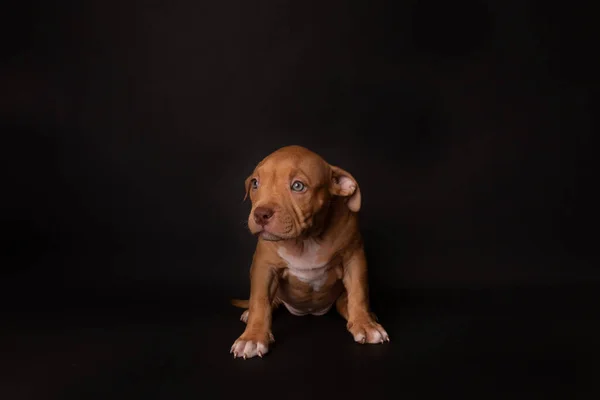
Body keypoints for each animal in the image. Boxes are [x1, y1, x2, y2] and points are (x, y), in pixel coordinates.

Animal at [230, 145, 390, 360]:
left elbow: (359, 292)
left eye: (298, 186)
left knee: (346, 302)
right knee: (272, 301)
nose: (260, 214)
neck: (306, 240)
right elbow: (260, 301)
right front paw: (252, 338)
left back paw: (362, 316)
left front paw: (365, 325)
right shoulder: (264, 267)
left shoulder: (354, 258)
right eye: (255, 183)